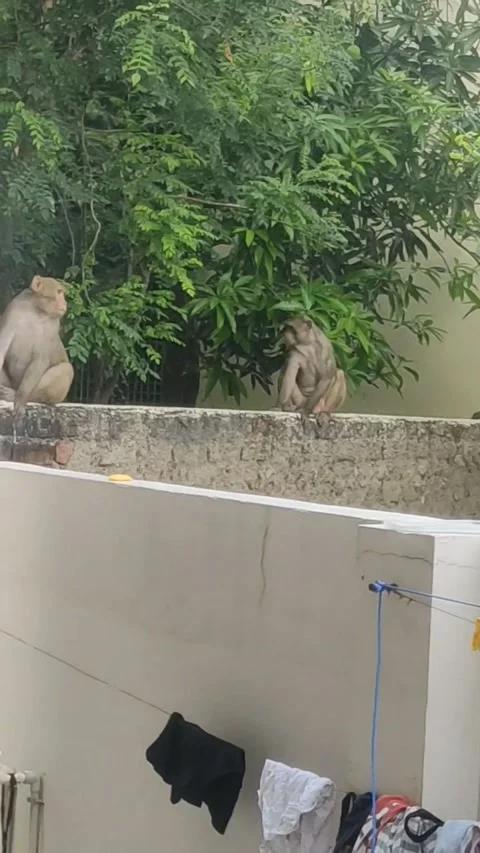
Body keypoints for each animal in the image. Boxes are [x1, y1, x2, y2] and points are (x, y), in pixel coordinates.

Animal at [0, 275, 74, 416]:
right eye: (59, 292)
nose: (65, 304)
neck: (37, 311)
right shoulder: (14, 310)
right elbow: (2, 348)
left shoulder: (53, 325)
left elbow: (41, 359)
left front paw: (21, 398)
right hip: (10, 383)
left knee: (67, 369)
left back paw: (20, 396)